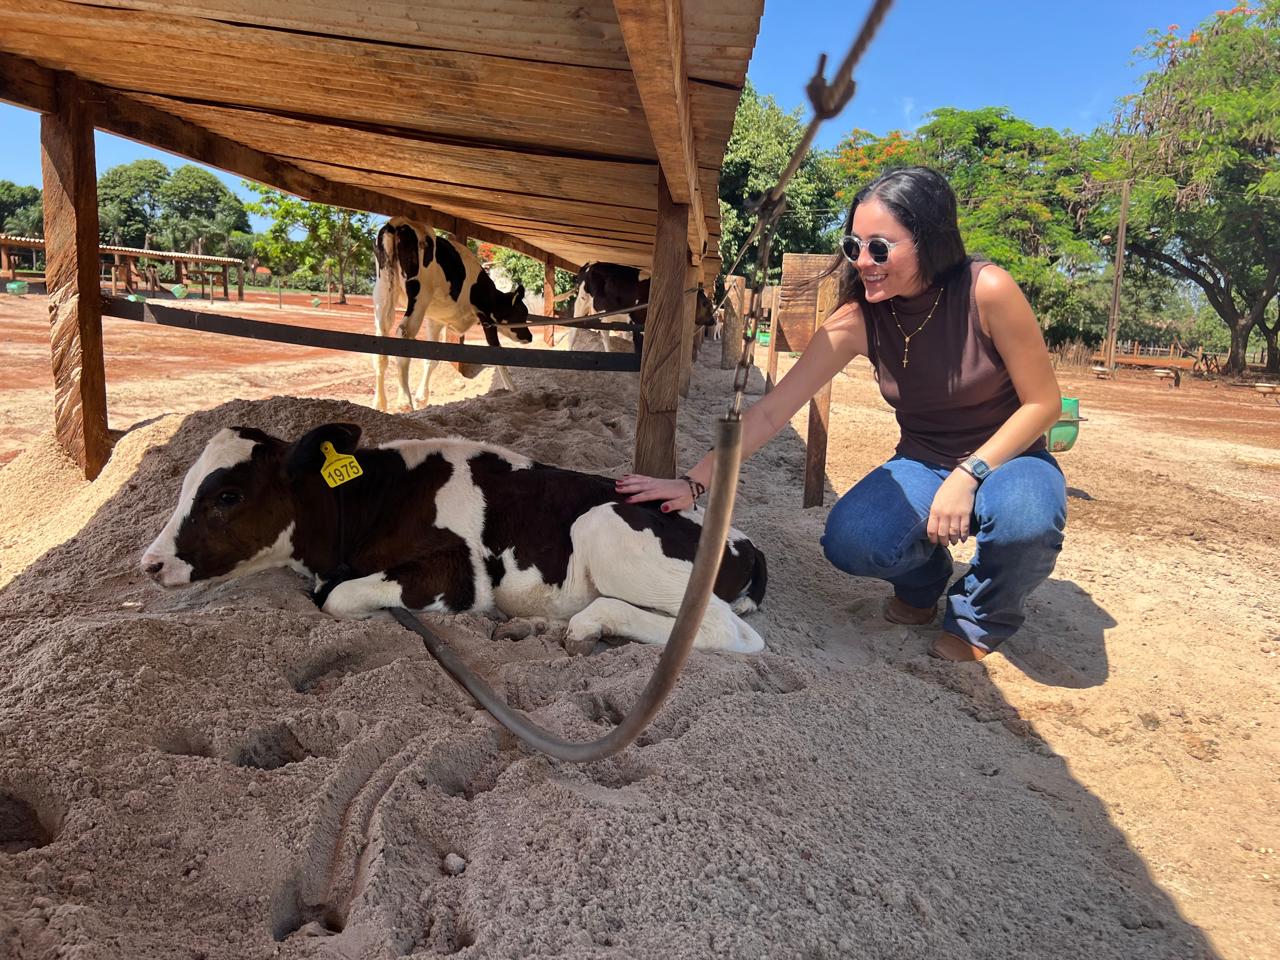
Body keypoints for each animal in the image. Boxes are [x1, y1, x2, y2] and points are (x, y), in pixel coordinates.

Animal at [137, 427, 768, 660]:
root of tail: (744, 541)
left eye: (228, 495)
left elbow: (339, 597)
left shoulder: (460, 570)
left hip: (605, 524)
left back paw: (591, 623)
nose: (150, 563)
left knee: (728, 633)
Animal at [373, 217, 532, 414]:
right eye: (522, 313)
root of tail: (398, 222)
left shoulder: (435, 320)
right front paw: (514, 390)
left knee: (381, 344)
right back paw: (404, 401)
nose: (530, 336)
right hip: (420, 294)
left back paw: (380, 403)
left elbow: (432, 358)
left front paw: (422, 397)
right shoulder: (486, 317)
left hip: (382, 291)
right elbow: (496, 353)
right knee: (403, 333)